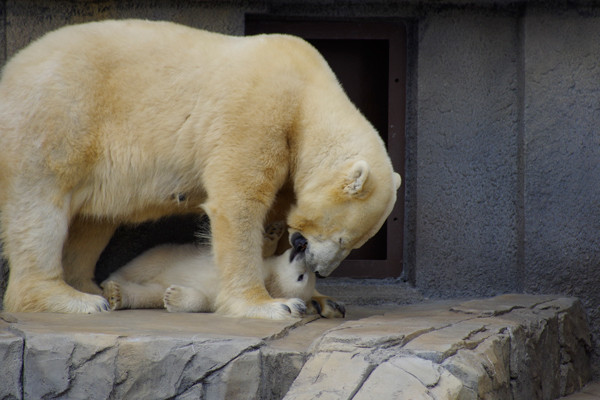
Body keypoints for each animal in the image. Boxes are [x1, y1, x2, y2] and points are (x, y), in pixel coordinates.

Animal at [1, 19, 404, 318]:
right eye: (345, 239)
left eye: (355, 243)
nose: (321, 269)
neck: (306, 92)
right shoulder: (257, 114)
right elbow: (238, 203)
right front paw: (270, 304)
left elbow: (274, 214)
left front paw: (325, 301)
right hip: (57, 116)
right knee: (40, 210)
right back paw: (73, 298)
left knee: (92, 222)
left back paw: (89, 287)